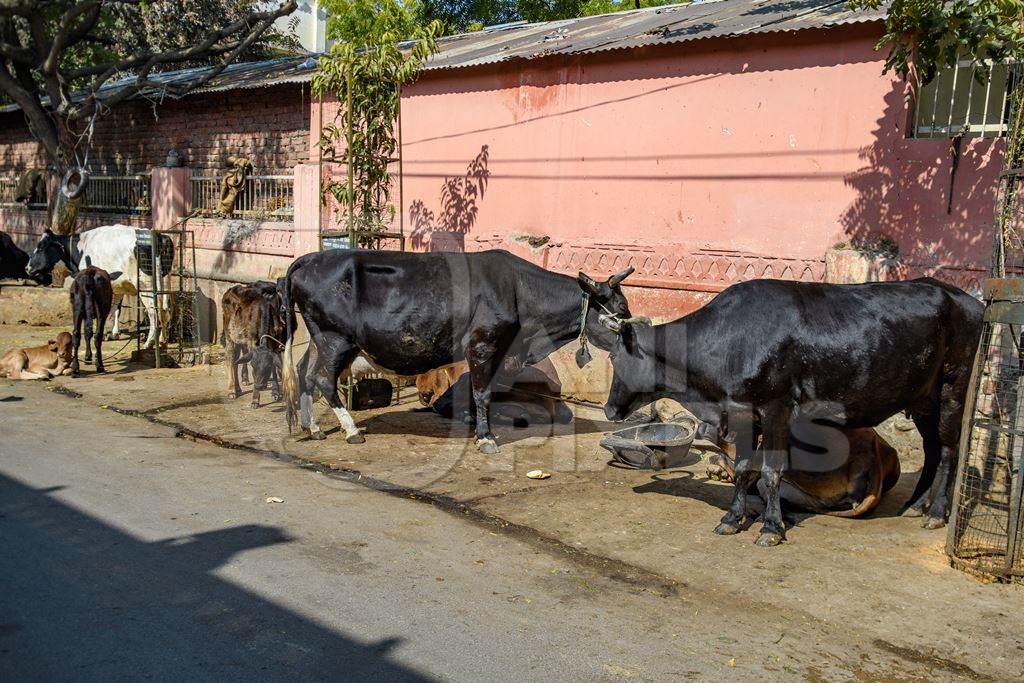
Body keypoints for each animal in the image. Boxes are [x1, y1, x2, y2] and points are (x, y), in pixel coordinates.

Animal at [280, 248, 643, 450]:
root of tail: (310, 258)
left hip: (320, 339)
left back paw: (313, 427)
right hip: (335, 339)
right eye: (620, 312)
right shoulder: (484, 346)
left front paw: (473, 424)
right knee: (324, 380)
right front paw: (486, 437)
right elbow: (483, 392)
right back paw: (351, 431)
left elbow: (479, 392)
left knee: (305, 372)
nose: (638, 346)